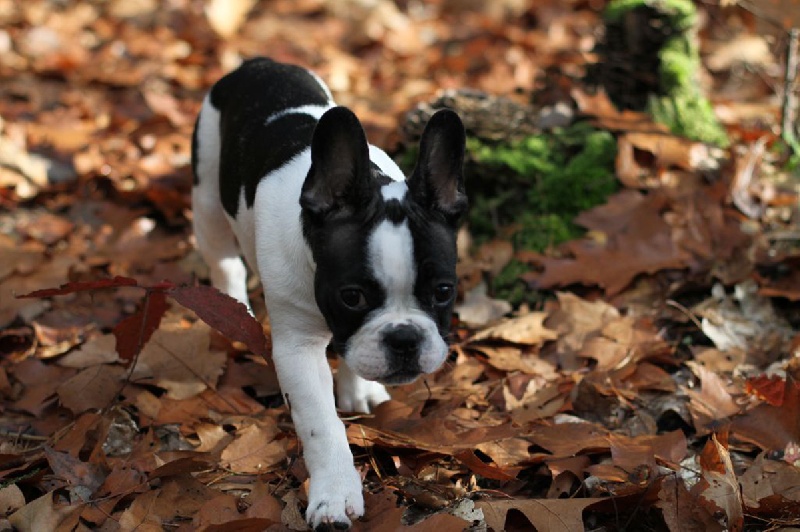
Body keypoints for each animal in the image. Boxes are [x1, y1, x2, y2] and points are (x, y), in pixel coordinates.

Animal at [191, 56, 466, 528]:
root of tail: (257, 62)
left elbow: (355, 353)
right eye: (351, 296)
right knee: (223, 260)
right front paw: (335, 493)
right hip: (207, 195)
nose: (405, 339)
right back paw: (233, 311)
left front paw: (359, 389)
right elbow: (322, 423)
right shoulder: (297, 349)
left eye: (443, 291)